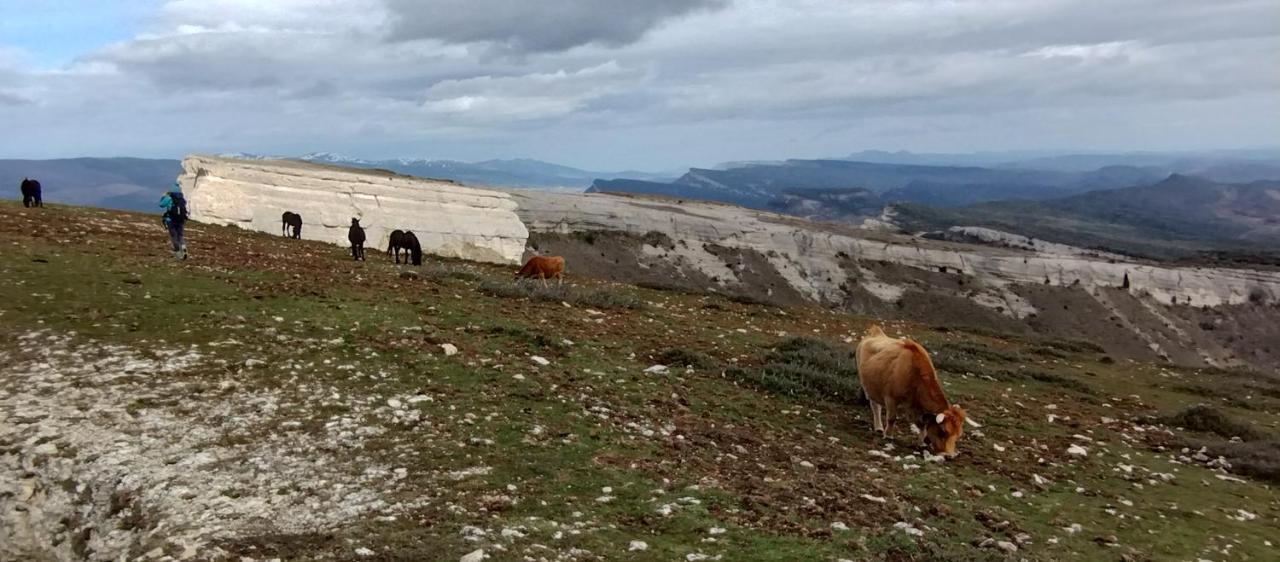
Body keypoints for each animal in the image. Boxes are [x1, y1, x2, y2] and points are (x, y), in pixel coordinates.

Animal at [855, 325, 972, 458]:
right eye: (943, 431)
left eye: (958, 435)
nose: (949, 456)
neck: (914, 373)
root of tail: (876, 332)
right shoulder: (890, 398)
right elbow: (892, 418)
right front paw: (888, 435)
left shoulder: (914, 406)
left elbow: (922, 425)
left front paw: (921, 442)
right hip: (869, 387)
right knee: (876, 406)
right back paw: (879, 427)